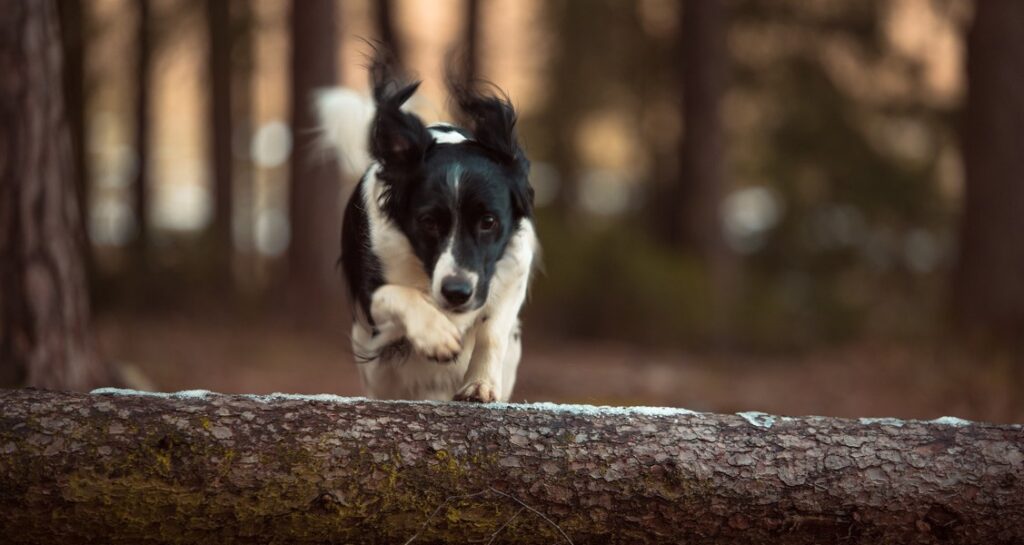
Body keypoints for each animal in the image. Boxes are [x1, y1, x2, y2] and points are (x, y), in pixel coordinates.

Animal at [317, 55, 540, 401]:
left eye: (488, 222)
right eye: (428, 222)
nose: (457, 292)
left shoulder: (515, 267)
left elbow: (491, 329)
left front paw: (480, 383)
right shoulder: (373, 308)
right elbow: (393, 293)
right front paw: (437, 336)